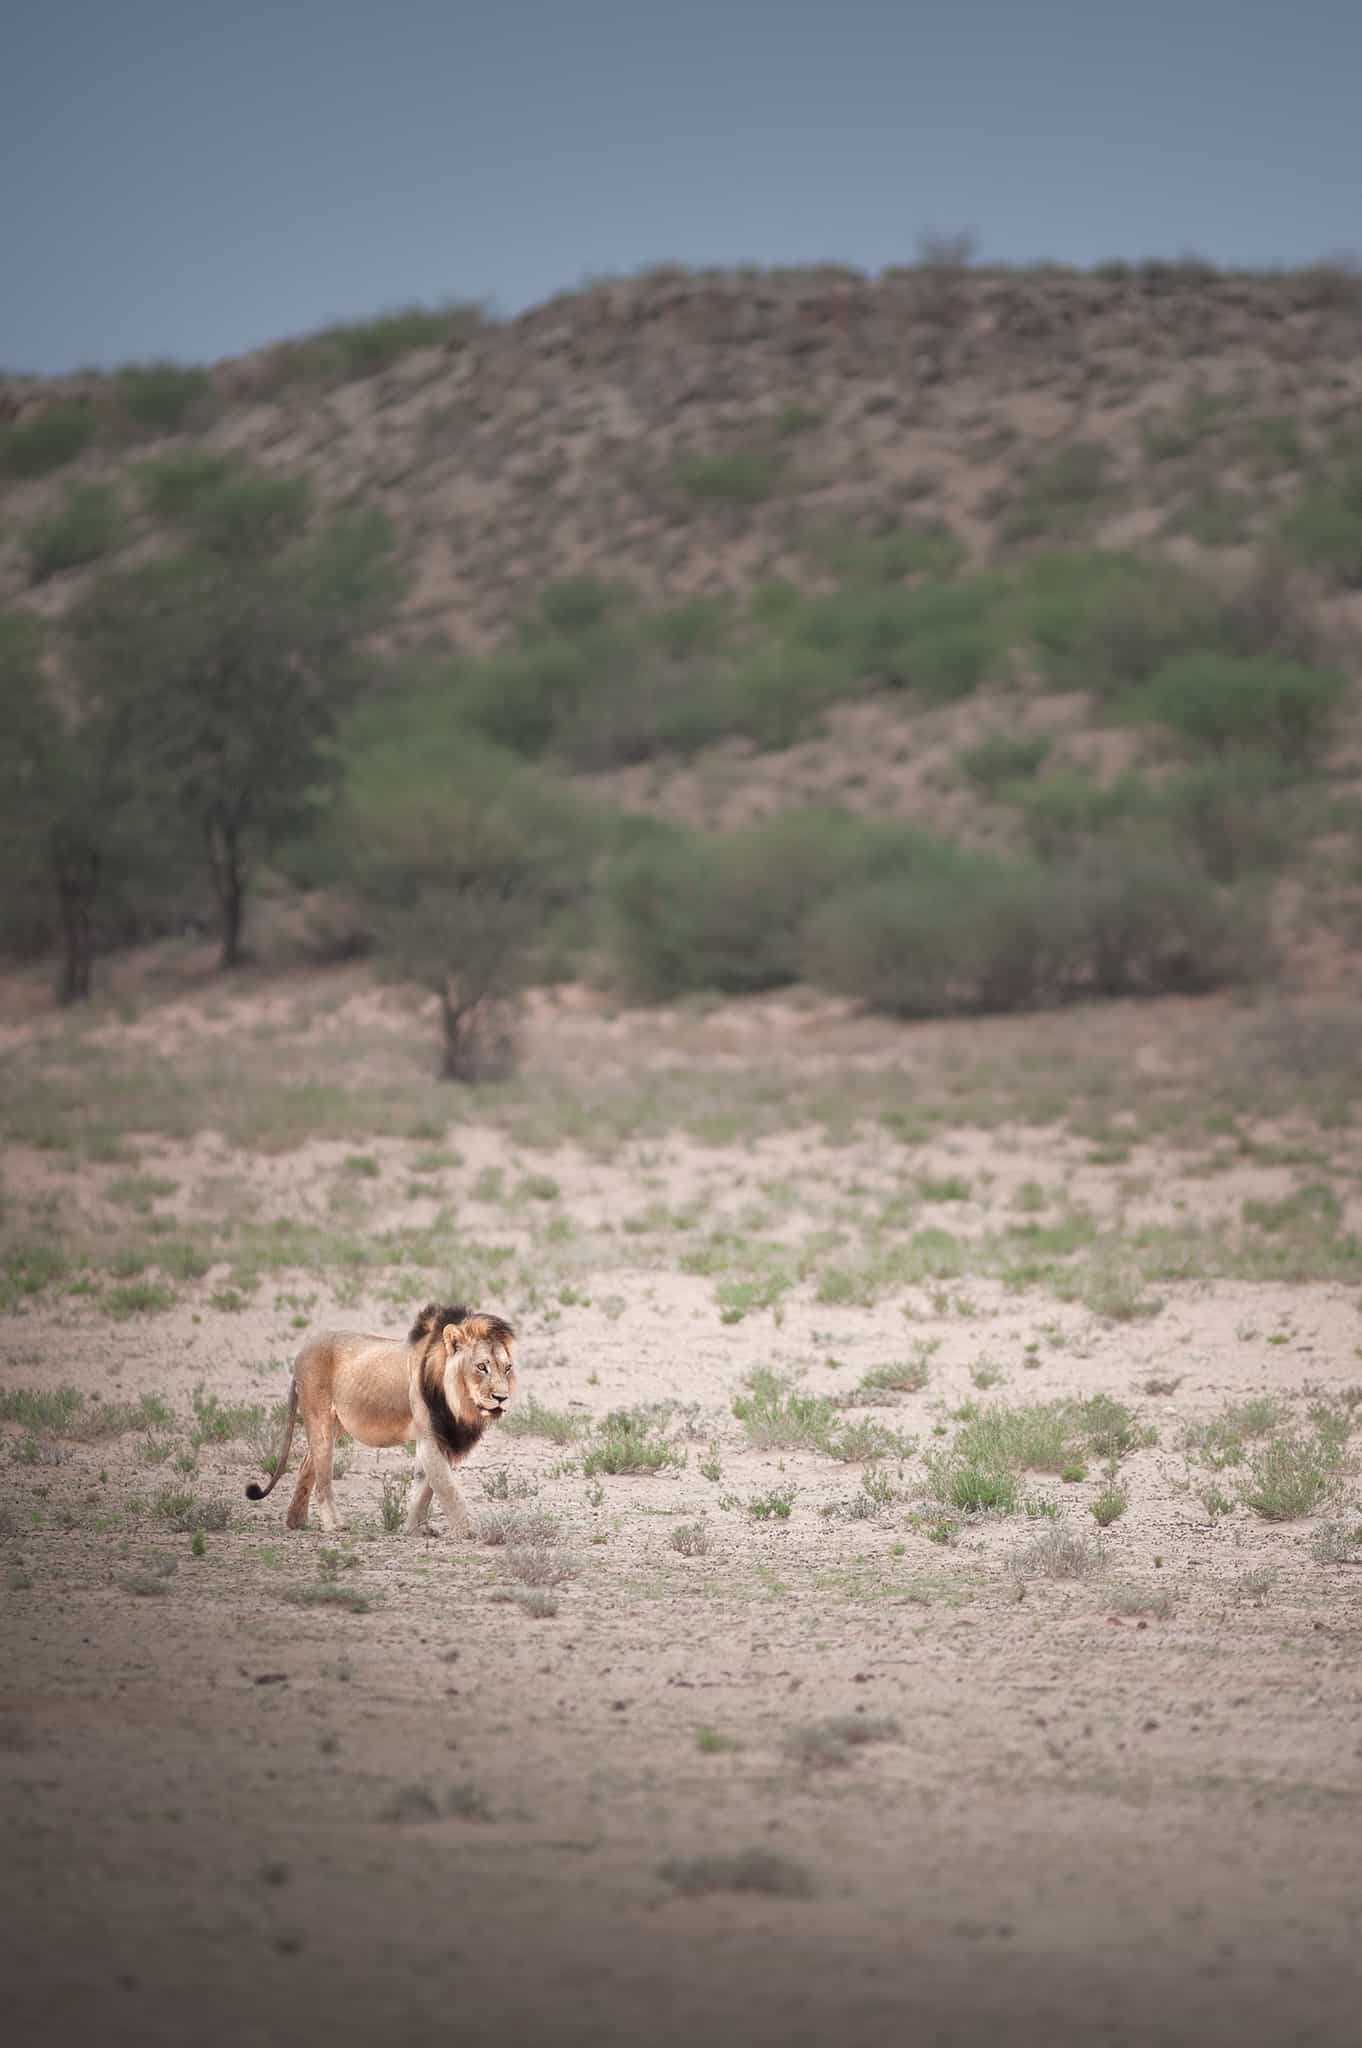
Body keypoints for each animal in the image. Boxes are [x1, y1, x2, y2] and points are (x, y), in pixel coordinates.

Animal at [244, 1294, 516, 1540]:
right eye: (481, 1367)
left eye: (507, 1368)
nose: (502, 1398)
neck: (458, 1401)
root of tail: (302, 1351)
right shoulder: (431, 1436)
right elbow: (446, 1488)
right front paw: (465, 1532)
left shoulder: (440, 1439)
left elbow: (424, 1486)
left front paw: (414, 1528)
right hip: (318, 1417)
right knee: (322, 1478)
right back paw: (334, 1524)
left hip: (336, 1423)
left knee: (305, 1465)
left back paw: (296, 1521)